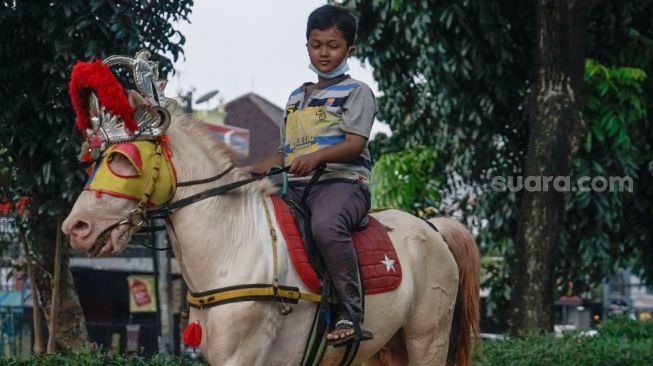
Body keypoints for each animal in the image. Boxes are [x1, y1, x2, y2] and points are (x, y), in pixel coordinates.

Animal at [62, 116, 478, 364]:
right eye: (96, 160)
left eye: (123, 161)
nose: (76, 226)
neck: (232, 243)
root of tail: (433, 229)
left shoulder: (243, 356)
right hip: (388, 348)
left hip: (427, 338)